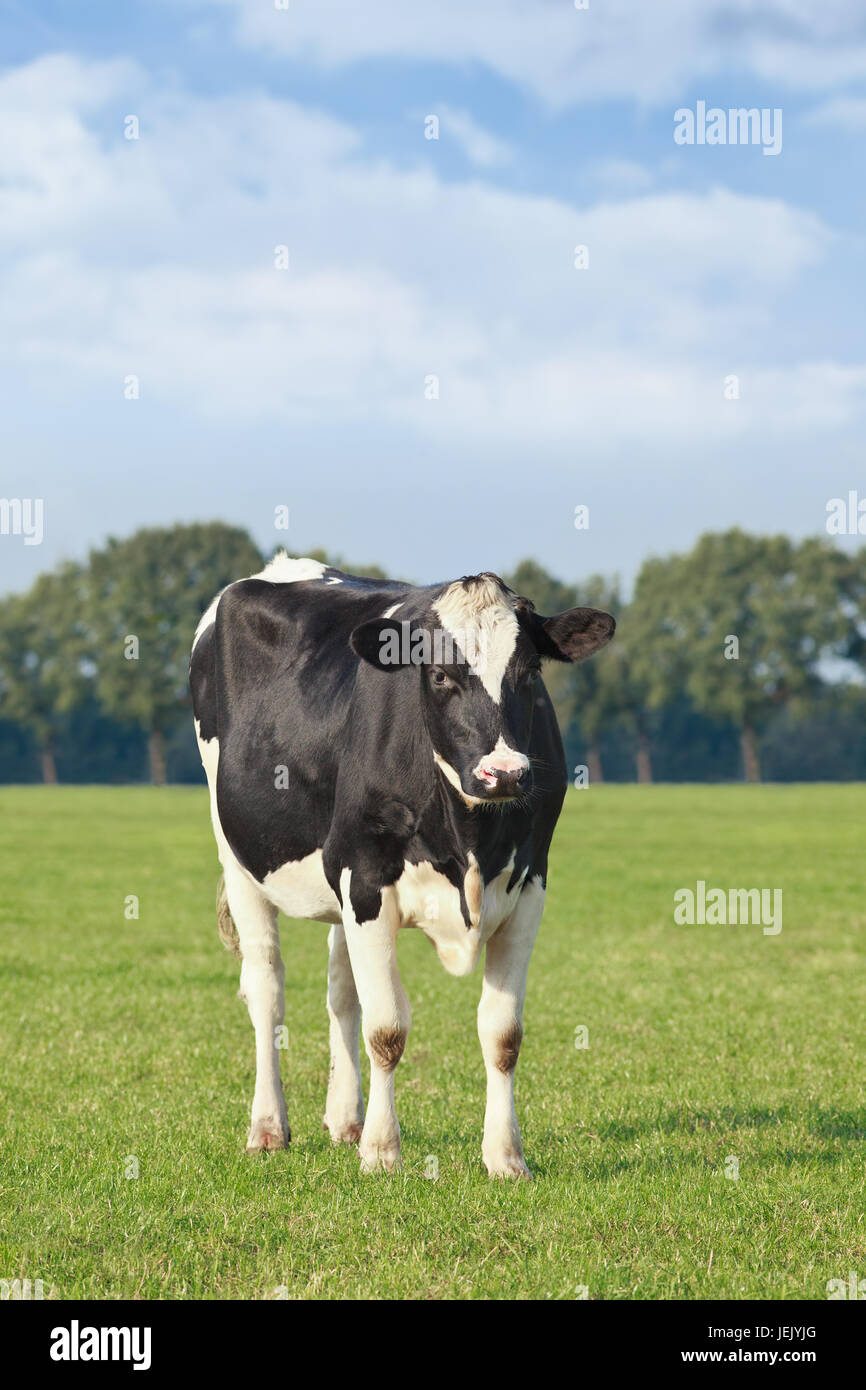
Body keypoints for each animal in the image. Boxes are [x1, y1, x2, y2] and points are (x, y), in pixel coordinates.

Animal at [191, 550, 617, 1173]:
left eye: (530, 673)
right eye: (439, 675)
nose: (505, 773)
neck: (469, 835)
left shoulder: (529, 887)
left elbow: (502, 1034)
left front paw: (504, 1156)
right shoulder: (365, 880)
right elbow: (387, 1028)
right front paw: (381, 1151)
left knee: (340, 993)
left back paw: (345, 1119)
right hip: (239, 856)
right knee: (266, 988)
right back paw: (269, 1127)